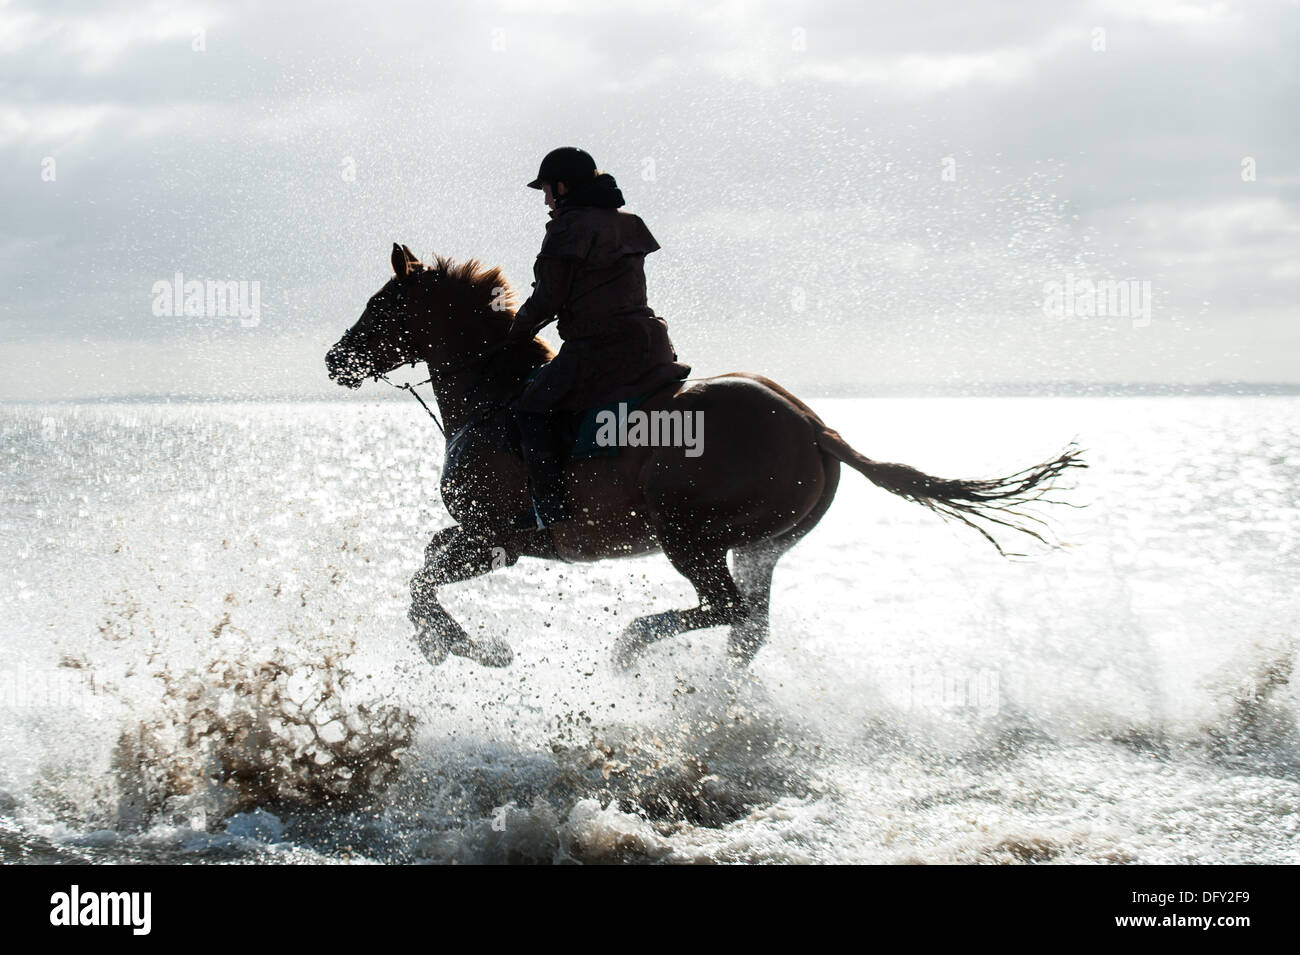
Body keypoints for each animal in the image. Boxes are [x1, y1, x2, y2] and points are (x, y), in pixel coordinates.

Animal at [325, 243, 1084, 670]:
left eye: (381, 304)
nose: (335, 359)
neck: (495, 393)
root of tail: (815, 428)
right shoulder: (484, 538)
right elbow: (424, 568)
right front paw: (459, 645)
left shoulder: (494, 540)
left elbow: (422, 583)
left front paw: (470, 648)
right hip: (761, 546)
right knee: (748, 625)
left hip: (689, 535)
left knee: (721, 608)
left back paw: (630, 647)